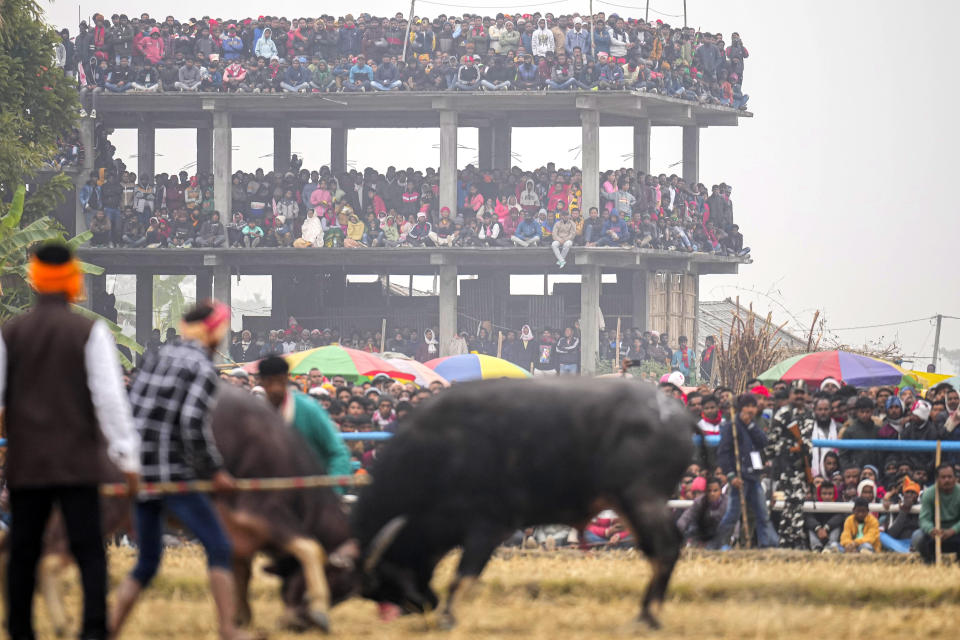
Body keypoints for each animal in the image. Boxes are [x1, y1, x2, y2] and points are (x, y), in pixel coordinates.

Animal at [352, 378, 696, 628]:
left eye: (380, 577)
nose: (416, 606)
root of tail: (678, 417)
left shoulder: (486, 526)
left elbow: (463, 577)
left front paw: (448, 618)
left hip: (642, 500)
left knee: (666, 548)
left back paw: (647, 618)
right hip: (630, 504)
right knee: (657, 552)